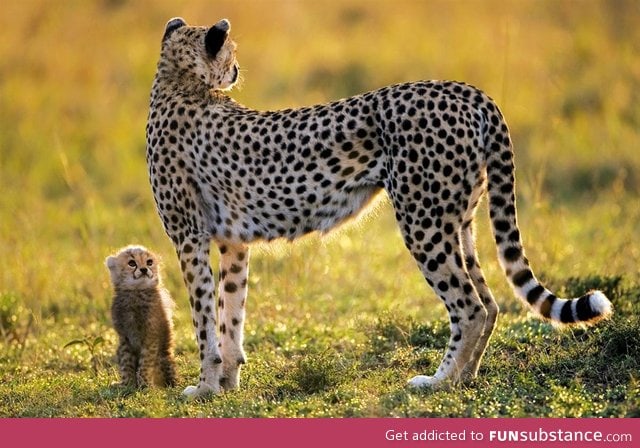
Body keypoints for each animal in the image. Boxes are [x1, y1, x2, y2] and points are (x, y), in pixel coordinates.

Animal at [145, 17, 608, 400]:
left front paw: (205, 387)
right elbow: (229, 316)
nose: (237, 69)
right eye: (232, 51)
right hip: (458, 221)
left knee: (469, 307)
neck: (176, 82)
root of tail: (465, 90)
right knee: (490, 302)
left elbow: (205, 320)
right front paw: (225, 383)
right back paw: (465, 377)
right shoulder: (233, 243)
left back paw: (438, 382)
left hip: (423, 222)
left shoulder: (189, 238)